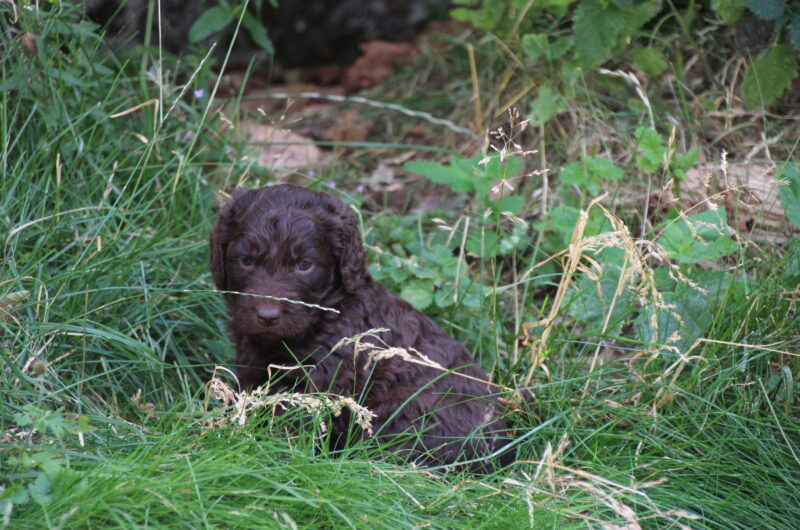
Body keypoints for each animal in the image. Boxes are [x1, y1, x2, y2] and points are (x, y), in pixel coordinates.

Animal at [211, 184, 512, 464]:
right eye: (247, 261)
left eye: (304, 265)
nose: (267, 315)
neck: (328, 313)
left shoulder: (319, 381)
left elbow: (292, 423)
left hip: (407, 414)